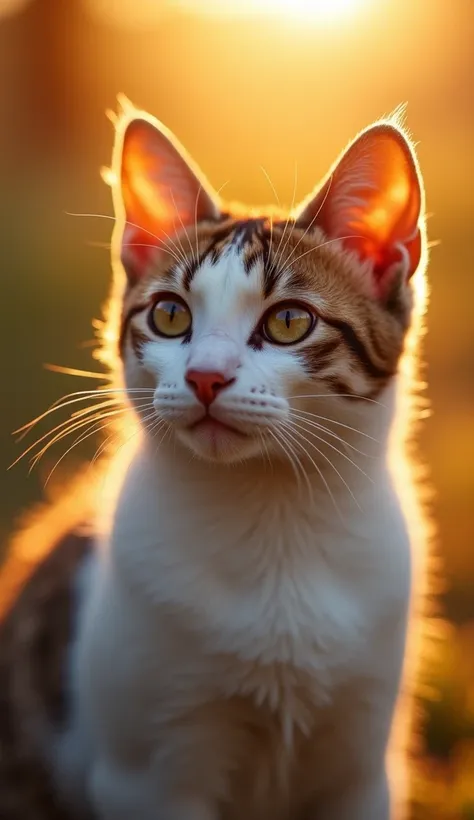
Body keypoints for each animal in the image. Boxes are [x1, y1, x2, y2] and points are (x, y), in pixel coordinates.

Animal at [0, 97, 430, 820]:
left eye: (289, 322)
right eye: (170, 316)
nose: (204, 377)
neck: (273, 513)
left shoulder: (360, 768)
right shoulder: (150, 776)